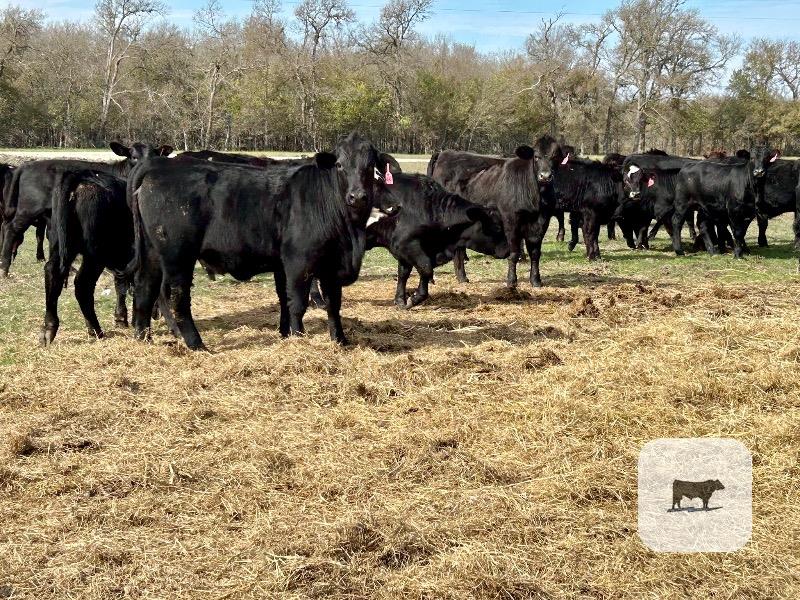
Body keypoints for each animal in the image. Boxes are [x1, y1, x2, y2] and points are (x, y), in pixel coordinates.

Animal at [0, 142, 173, 277]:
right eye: (133, 157)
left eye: (154, 156)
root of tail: (25, 166)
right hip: (28, 209)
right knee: (11, 229)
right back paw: (5, 268)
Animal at [40, 170, 133, 345]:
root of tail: (80, 176)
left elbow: (121, 285)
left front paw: (121, 318)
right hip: (95, 255)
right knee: (83, 283)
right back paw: (96, 330)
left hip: (59, 243)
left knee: (52, 273)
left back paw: (48, 329)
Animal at [127, 132, 398, 350]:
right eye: (339, 165)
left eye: (371, 167)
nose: (357, 196)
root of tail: (158, 165)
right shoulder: (298, 262)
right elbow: (297, 303)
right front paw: (298, 338)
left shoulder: (329, 264)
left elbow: (330, 303)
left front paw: (339, 340)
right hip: (178, 255)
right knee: (176, 297)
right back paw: (197, 345)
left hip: (153, 253)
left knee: (144, 288)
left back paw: (144, 339)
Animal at [365, 173, 509, 308]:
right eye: (497, 227)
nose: (508, 250)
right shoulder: (406, 246)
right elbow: (426, 269)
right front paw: (414, 298)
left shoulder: (412, 252)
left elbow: (406, 274)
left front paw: (401, 300)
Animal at [428, 135, 564, 288]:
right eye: (536, 156)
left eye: (555, 156)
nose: (545, 176)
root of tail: (444, 153)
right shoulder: (511, 220)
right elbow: (514, 252)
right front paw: (511, 281)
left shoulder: (542, 222)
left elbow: (535, 253)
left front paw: (536, 280)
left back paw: (461, 277)